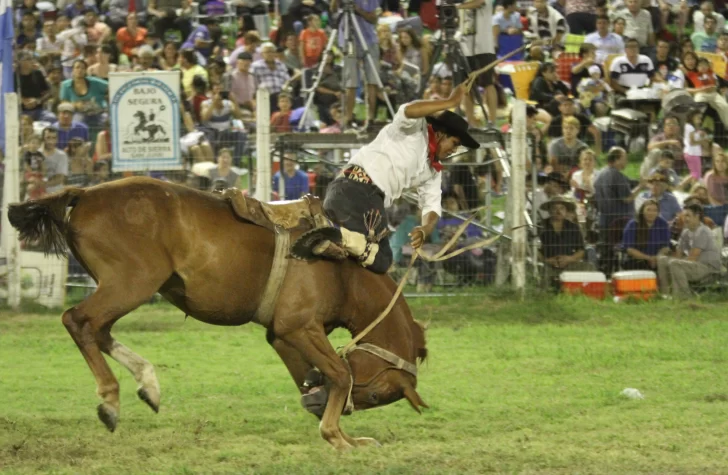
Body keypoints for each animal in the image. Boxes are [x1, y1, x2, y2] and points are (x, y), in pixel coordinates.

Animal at [7, 177, 426, 452]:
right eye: (375, 393)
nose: (349, 412)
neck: (344, 271)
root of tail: (85, 194)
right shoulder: (299, 327)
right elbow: (340, 373)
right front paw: (339, 437)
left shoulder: (282, 335)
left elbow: (315, 376)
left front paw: (337, 426)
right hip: (131, 282)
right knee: (79, 322)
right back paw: (111, 401)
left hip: (121, 287)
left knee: (100, 331)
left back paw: (147, 384)